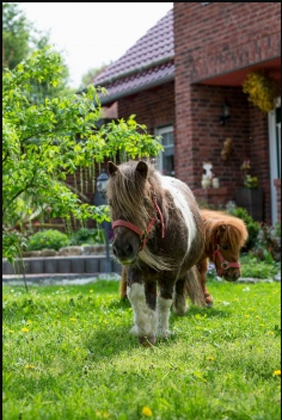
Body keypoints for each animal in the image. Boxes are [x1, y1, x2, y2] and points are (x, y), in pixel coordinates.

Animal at [106, 159, 205, 346]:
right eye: (111, 203)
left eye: (144, 201)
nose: (122, 249)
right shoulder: (135, 268)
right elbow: (136, 296)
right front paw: (143, 329)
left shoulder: (171, 271)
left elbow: (164, 300)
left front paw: (162, 332)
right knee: (150, 297)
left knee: (178, 287)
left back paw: (179, 309)